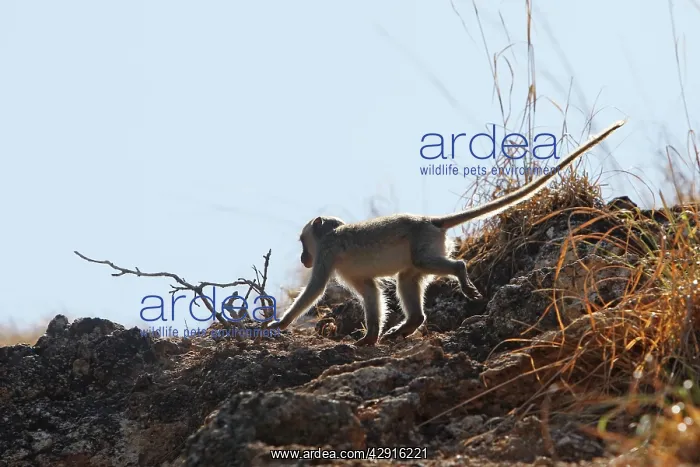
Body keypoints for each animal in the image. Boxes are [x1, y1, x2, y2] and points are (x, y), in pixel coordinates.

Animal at [263, 120, 625, 346]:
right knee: (408, 279)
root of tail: (431, 221)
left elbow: (314, 291)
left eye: (303, 243)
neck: (332, 234)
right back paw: (409, 325)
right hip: (422, 249)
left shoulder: (326, 253)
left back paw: (460, 275)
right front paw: (370, 336)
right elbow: (371, 293)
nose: (303, 257)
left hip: (424, 243)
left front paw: (278, 324)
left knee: (431, 264)